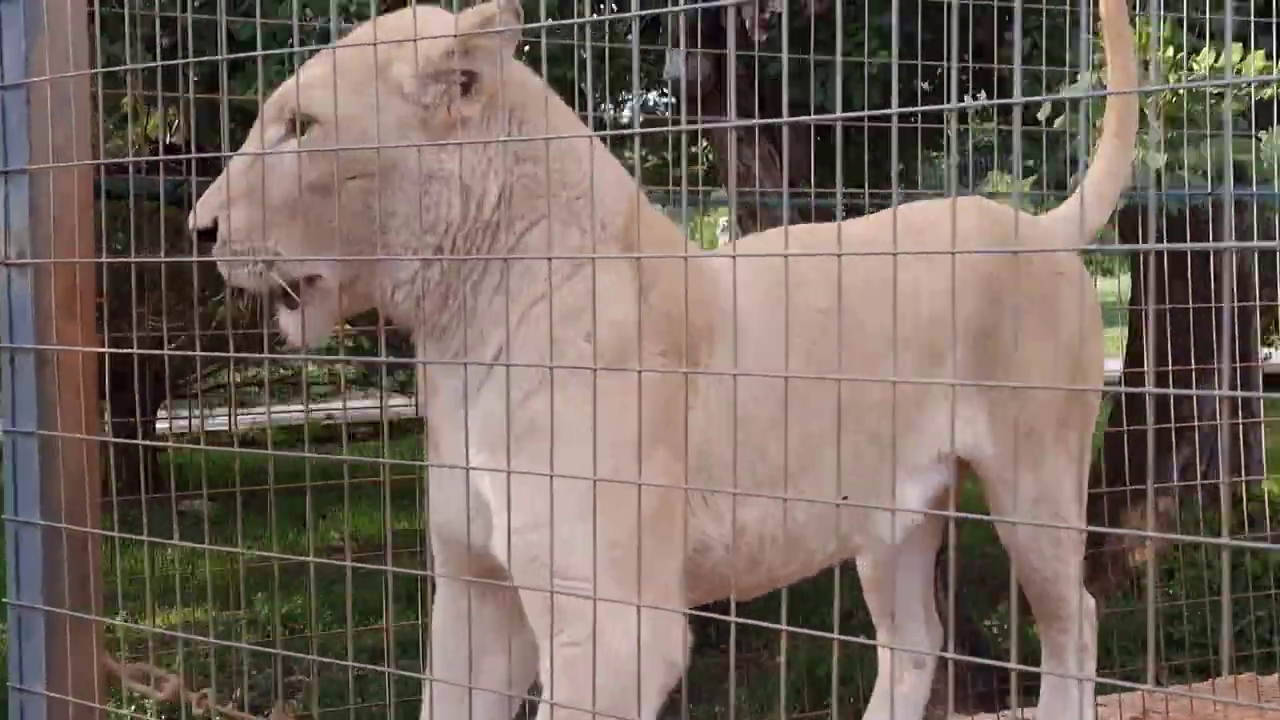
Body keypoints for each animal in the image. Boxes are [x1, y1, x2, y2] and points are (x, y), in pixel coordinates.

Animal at [189, 1, 1137, 720]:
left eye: (300, 127)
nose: (199, 228)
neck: (455, 332)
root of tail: (1034, 224)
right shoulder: (475, 588)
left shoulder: (612, 624)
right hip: (893, 518)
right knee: (914, 642)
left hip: (1034, 487)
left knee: (1078, 623)